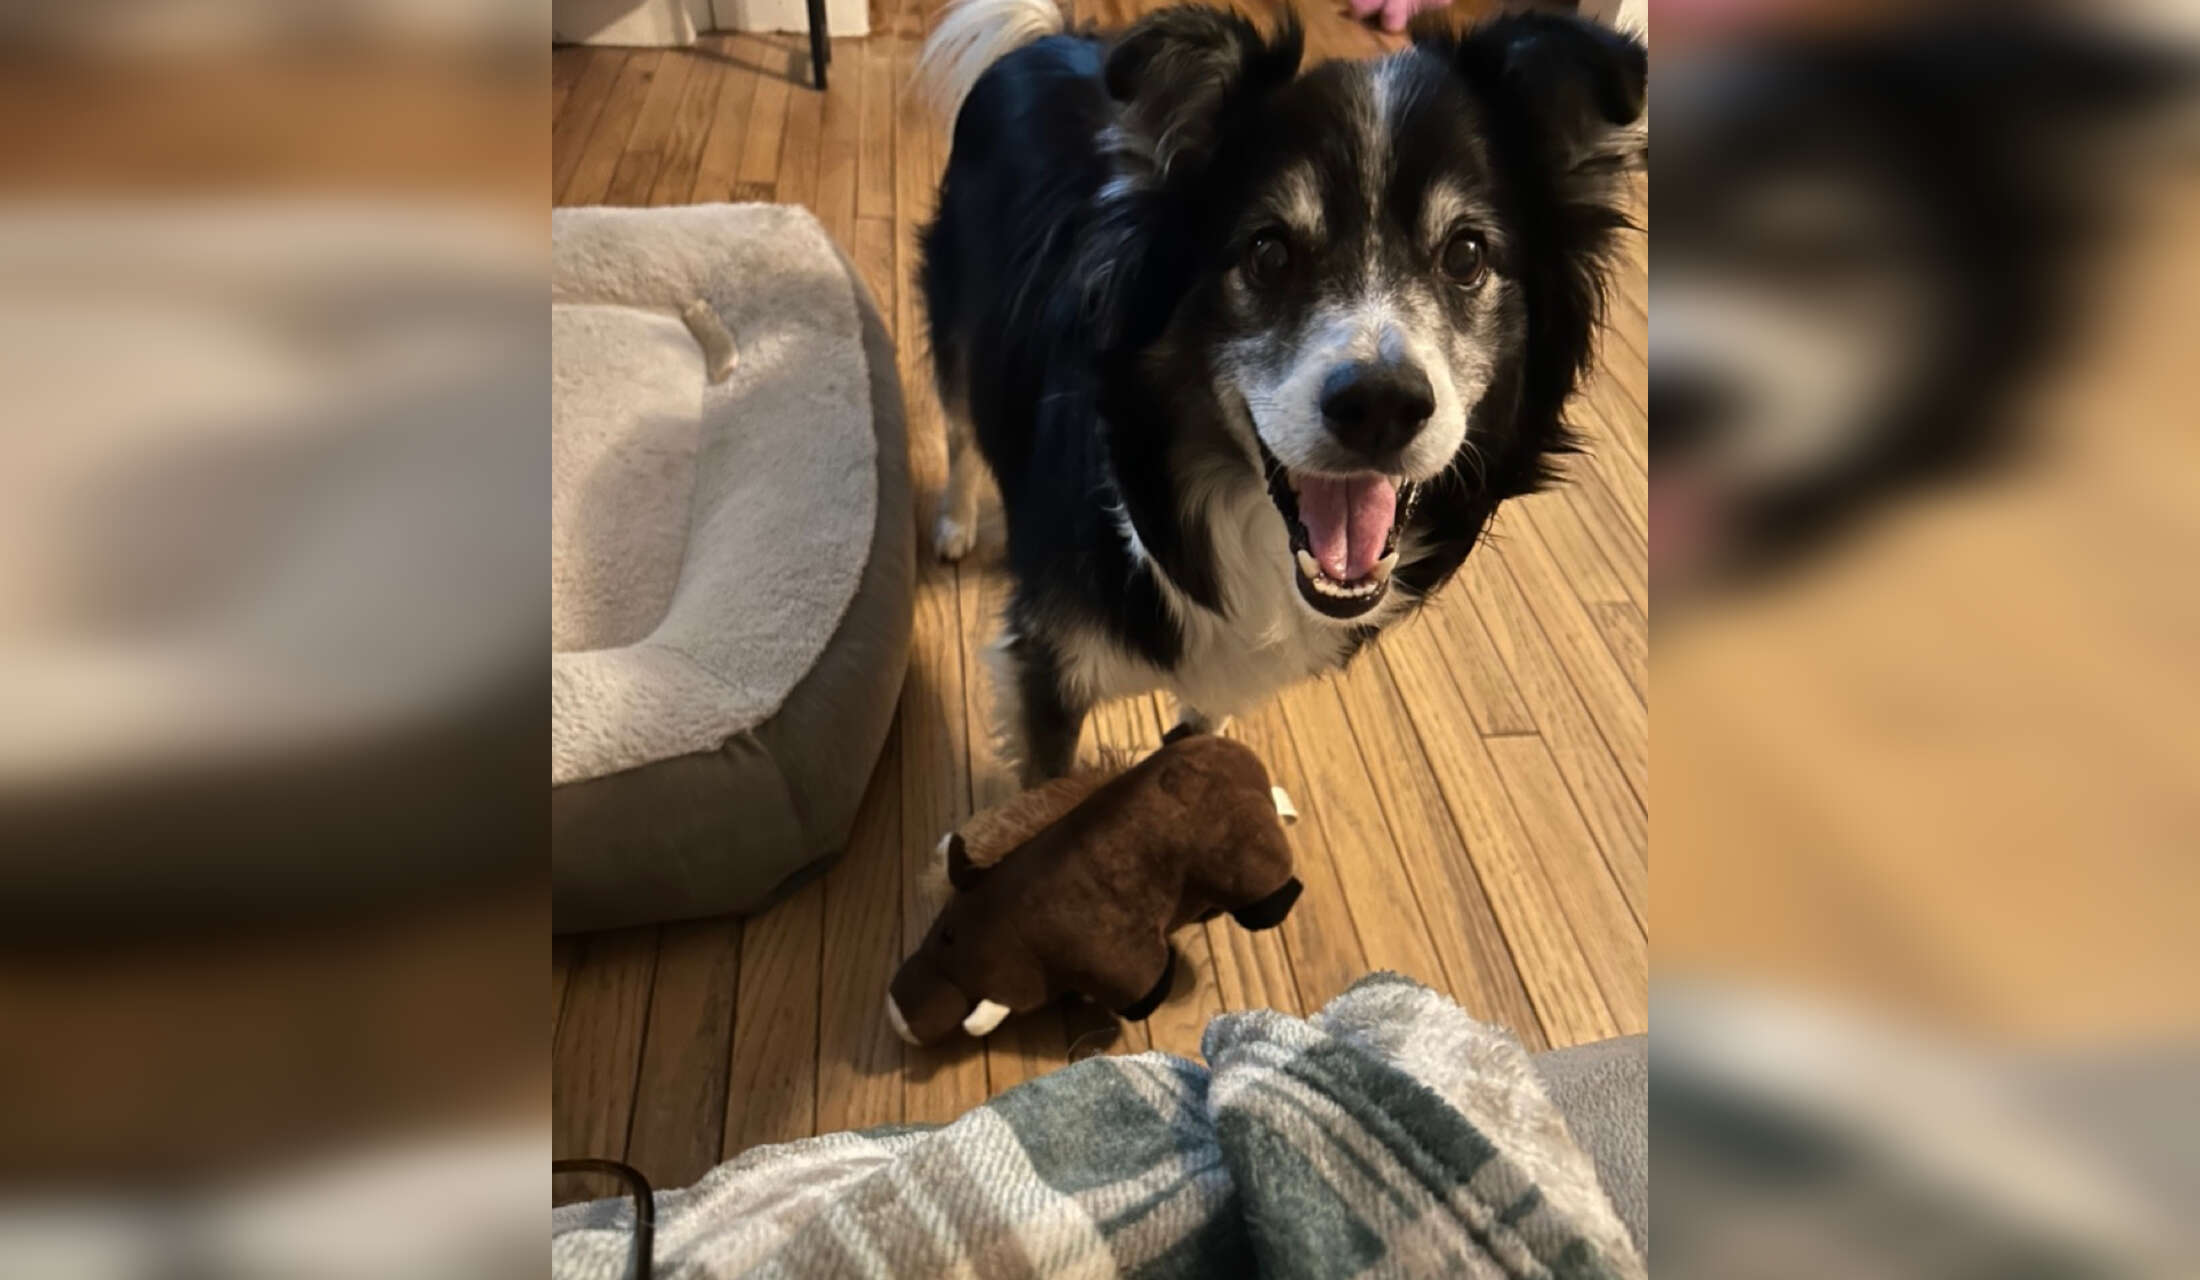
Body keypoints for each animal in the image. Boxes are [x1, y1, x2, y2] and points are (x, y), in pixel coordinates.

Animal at [917, 0, 1645, 780]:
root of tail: (1046, 40)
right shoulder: (1047, 668)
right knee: (958, 431)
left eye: (1466, 256)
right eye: (1268, 252)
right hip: (954, 326)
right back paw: (955, 524)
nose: (1381, 408)